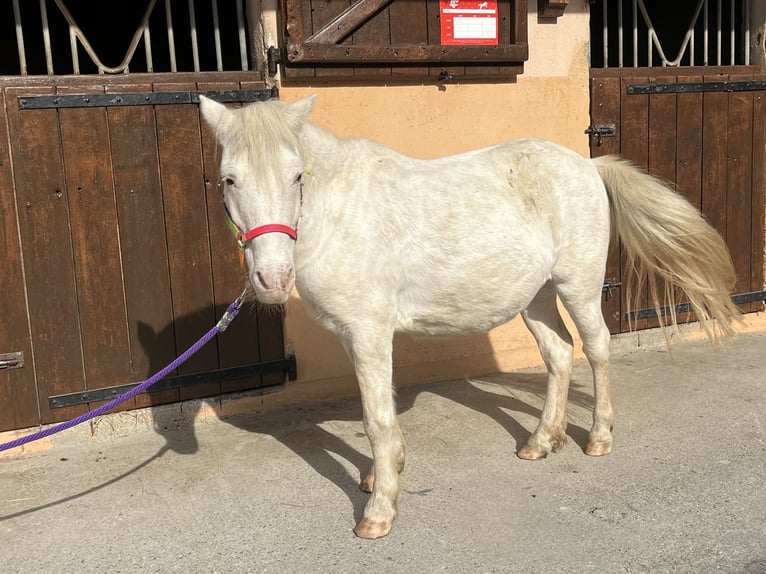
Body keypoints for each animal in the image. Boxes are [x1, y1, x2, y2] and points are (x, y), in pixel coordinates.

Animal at [200, 97, 744, 544]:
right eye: (230, 179)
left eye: (297, 176)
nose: (272, 278)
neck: (341, 213)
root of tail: (587, 165)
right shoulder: (358, 338)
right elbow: (380, 408)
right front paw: (383, 474)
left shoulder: (369, 332)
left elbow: (376, 418)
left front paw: (378, 511)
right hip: (536, 298)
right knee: (559, 354)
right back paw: (541, 441)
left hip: (579, 288)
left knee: (598, 350)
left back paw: (599, 438)